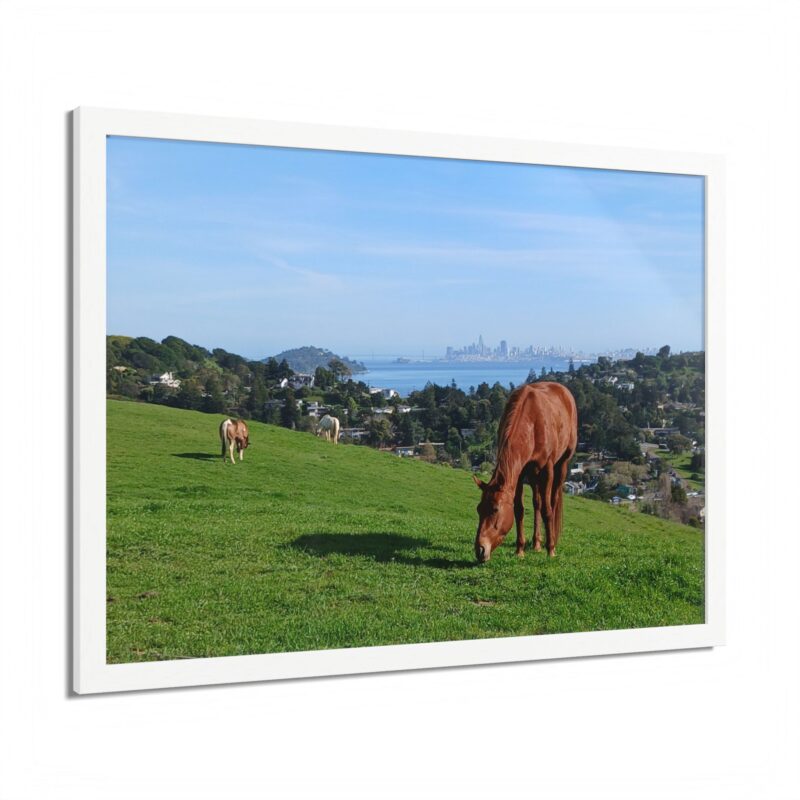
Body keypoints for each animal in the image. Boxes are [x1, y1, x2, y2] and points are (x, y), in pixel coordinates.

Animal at [473, 382, 577, 562]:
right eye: (479, 509)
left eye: (495, 510)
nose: (480, 550)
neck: (532, 424)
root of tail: (564, 391)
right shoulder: (520, 472)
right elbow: (519, 509)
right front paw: (520, 549)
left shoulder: (547, 469)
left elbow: (547, 510)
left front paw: (551, 550)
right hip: (533, 474)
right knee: (537, 503)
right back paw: (536, 543)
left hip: (561, 464)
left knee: (553, 500)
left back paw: (552, 540)